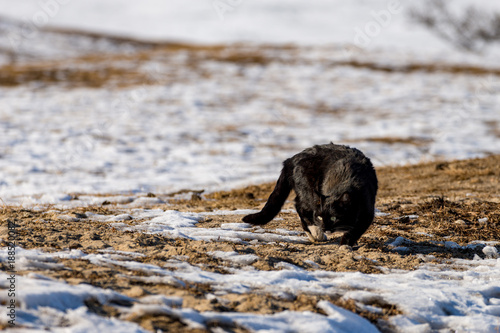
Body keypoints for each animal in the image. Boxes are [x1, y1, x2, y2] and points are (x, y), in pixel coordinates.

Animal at [243, 142, 378, 244]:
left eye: (334, 218)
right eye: (320, 217)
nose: (324, 227)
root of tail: (291, 159)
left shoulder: (367, 211)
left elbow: (356, 230)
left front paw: (347, 243)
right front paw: (345, 246)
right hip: (309, 190)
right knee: (300, 206)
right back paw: (316, 234)